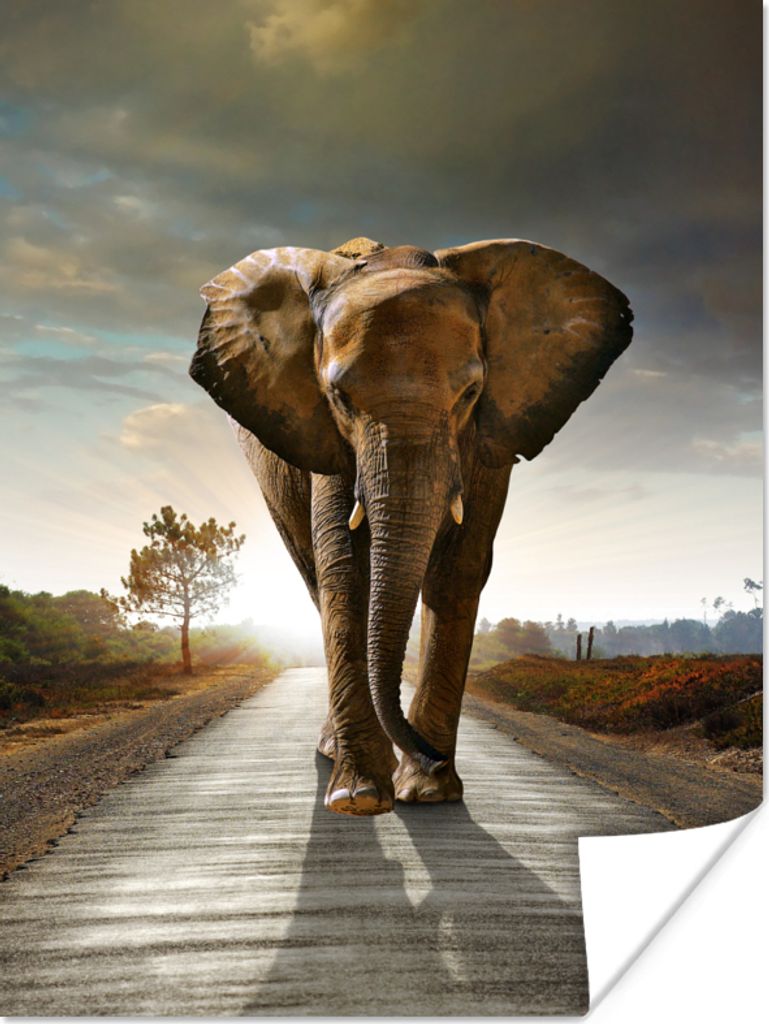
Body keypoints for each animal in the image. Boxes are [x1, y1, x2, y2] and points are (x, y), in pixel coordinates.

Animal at [189, 236, 632, 816]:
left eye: (470, 394)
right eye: (340, 398)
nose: (431, 755)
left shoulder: (489, 438)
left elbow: (459, 569)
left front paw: (428, 792)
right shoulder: (327, 440)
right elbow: (346, 569)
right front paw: (359, 798)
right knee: (315, 579)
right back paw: (336, 755)